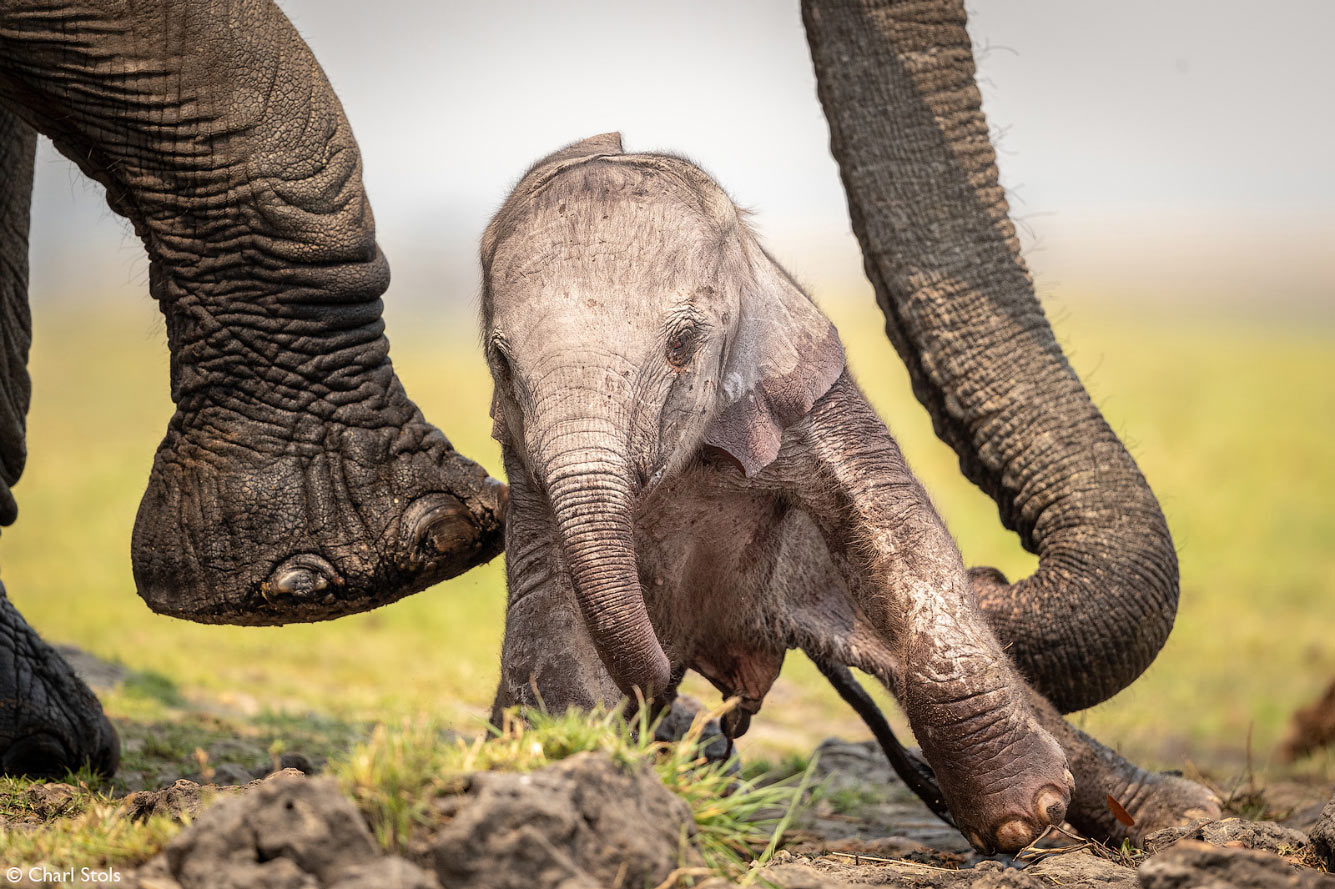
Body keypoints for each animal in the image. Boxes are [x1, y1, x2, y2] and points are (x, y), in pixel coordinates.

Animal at [483, 133, 1222, 854]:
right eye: (500, 360)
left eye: (682, 343)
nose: (676, 705)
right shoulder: (528, 463)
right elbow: (548, 592)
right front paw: (571, 754)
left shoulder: (810, 391)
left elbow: (897, 530)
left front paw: (1024, 817)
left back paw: (1182, 816)